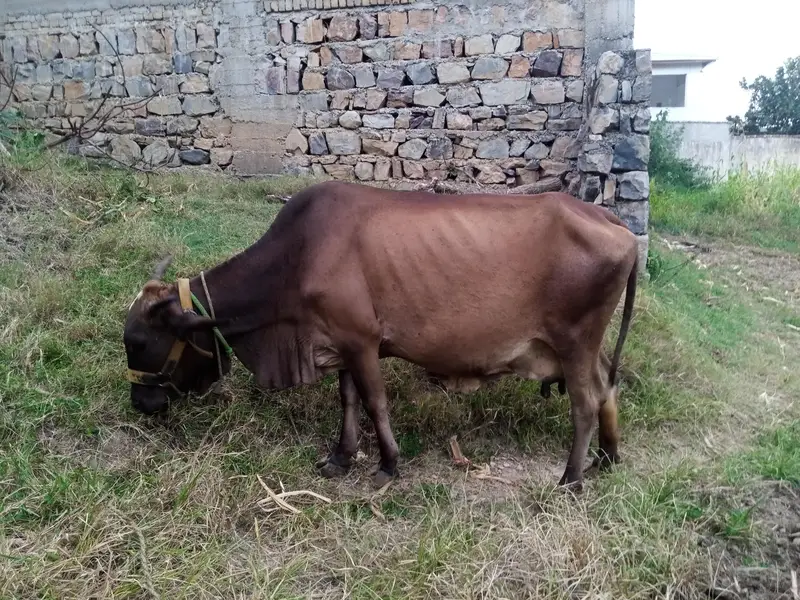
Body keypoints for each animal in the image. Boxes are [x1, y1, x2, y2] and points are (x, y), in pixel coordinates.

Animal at [123, 181, 639, 491]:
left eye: (139, 343)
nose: (141, 403)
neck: (298, 257)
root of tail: (612, 222)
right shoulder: (340, 343)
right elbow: (349, 400)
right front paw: (341, 456)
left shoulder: (362, 342)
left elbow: (375, 402)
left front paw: (388, 463)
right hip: (585, 347)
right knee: (607, 389)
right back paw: (608, 457)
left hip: (575, 342)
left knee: (585, 403)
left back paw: (571, 478)